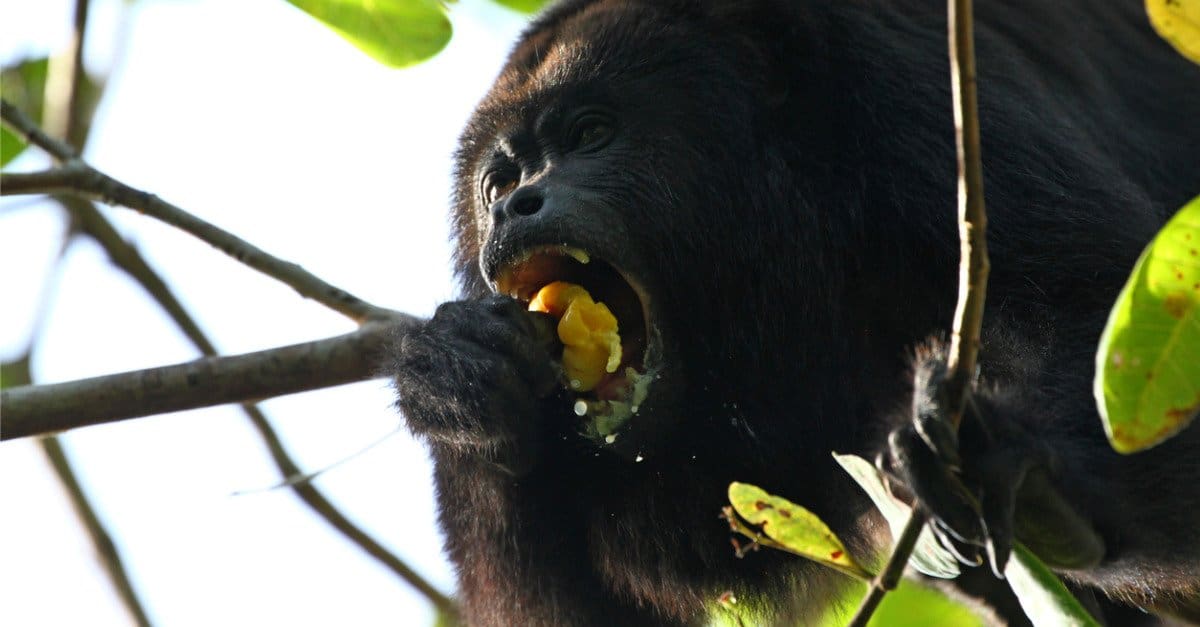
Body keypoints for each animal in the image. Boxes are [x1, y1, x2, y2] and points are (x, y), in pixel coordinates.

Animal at [386, 2, 1200, 619]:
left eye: (589, 132)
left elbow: (1082, 293)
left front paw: (1015, 460)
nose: (511, 207)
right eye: (499, 180)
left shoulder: (907, 83)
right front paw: (464, 383)